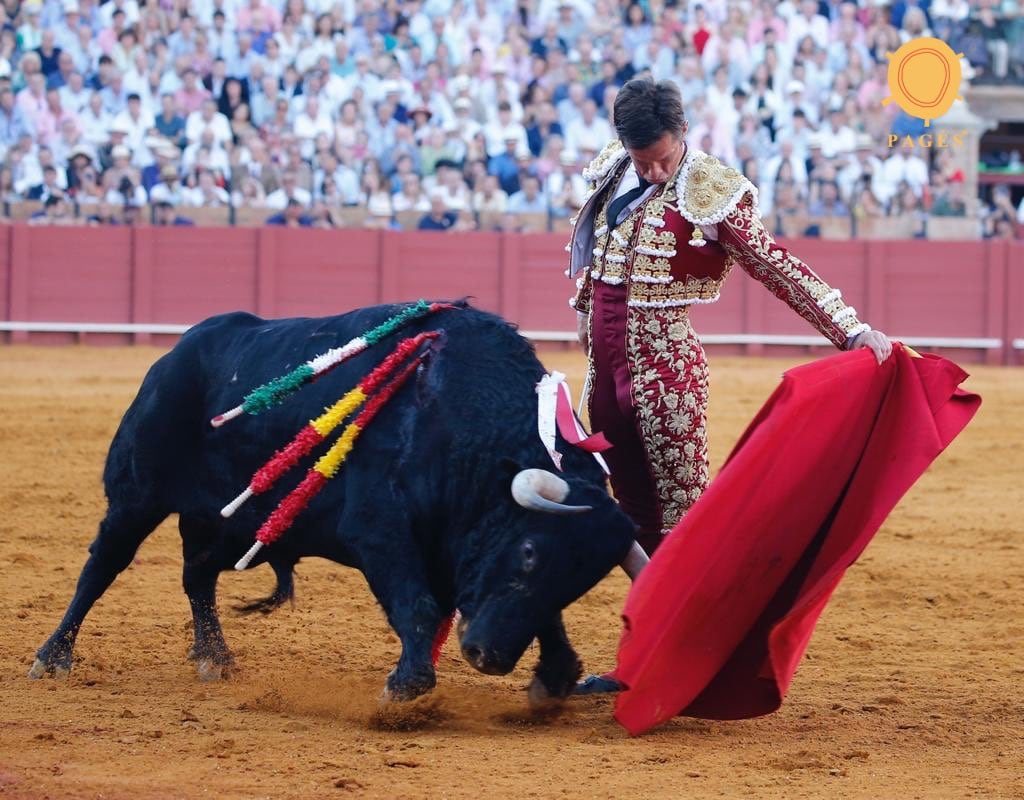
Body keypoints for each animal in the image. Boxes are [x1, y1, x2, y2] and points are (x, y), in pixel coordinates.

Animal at [28, 301, 638, 704]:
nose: (488, 658)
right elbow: (417, 605)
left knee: (197, 576)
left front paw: (555, 676)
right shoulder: (377, 530)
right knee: (103, 566)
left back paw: (215, 659)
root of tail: (175, 353)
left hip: (230, 521)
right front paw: (406, 688)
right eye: (530, 553)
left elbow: (539, 614)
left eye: (583, 579)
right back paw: (52, 658)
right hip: (136, 495)